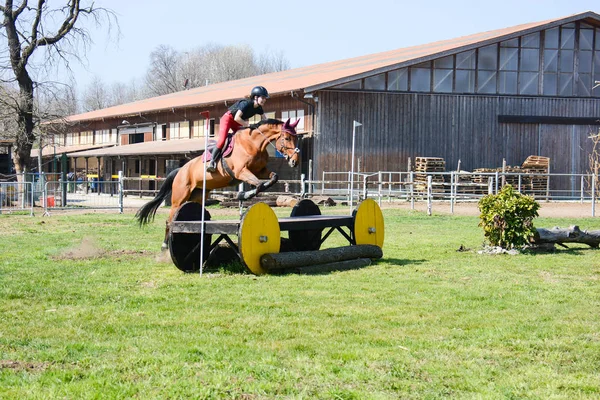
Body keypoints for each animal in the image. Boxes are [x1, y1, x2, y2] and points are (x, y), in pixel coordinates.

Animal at [138, 118, 302, 250]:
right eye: (287, 138)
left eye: (296, 138)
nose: (295, 161)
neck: (253, 143)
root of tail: (181, 170)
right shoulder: (241, 172)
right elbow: (259, 185)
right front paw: (244, 194)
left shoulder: (260, 171)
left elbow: (273, 178)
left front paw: (245, 194)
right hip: (179, 198)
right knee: (170, 220)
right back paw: (165, 245)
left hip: (198, 196)